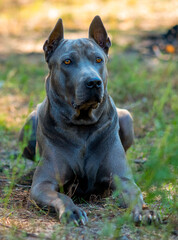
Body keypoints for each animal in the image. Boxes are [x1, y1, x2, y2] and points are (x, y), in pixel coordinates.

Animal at [19, 15, 159, 226]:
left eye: (98, 59)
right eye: (67, 61)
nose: (93, 82)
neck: (82, 125)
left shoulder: (123, 179)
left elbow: (135, 192)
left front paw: (145, 211)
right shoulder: (43, 184)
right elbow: (62, 196)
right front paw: (72, 211)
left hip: (126, 118)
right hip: (29, 126)